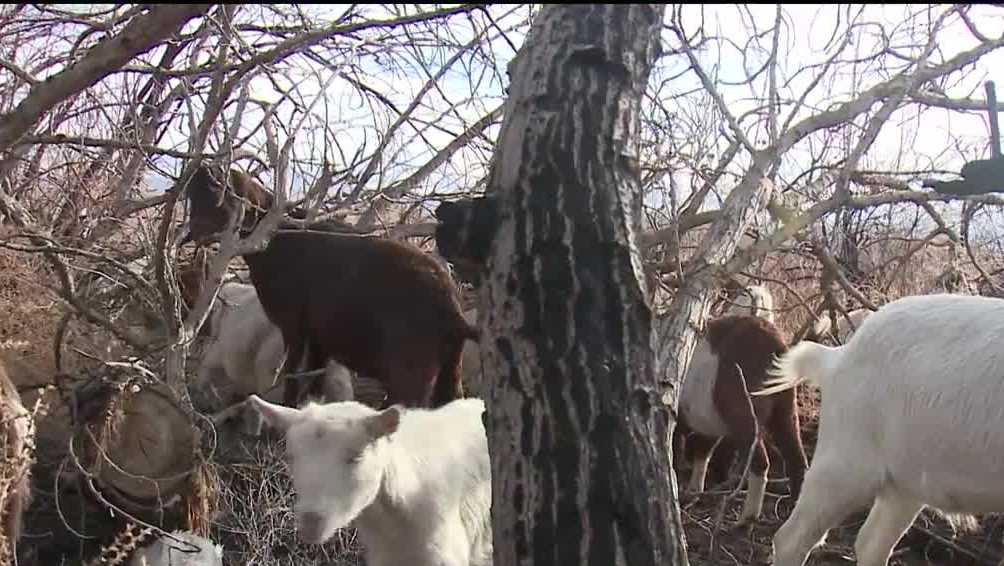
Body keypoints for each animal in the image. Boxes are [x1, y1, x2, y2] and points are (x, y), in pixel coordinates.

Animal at [178, 164, 478, 409]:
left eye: (214, 194)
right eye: (192, 196)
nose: (194, 233)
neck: (277, 239)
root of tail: (452, 308)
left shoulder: (294, 327)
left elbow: (293, 373)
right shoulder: (319, 338)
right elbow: (314, 380)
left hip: (411, 373)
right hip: (449, 372)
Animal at [674, 314, 807, 526]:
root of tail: (775, 344)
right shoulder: (706, 422)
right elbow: (703, 452)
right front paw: (693, 494)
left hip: (742, 408)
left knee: (760, 461)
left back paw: (745, 521)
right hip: (785, 406)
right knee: (797, 458)